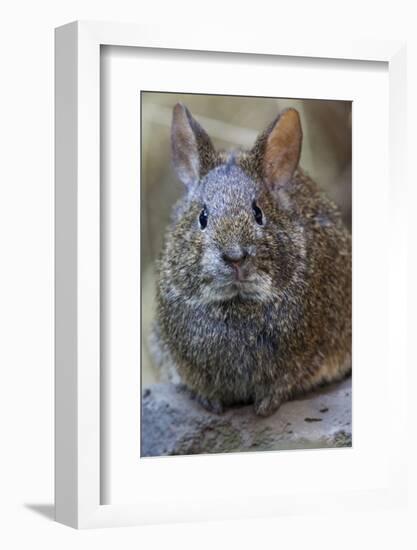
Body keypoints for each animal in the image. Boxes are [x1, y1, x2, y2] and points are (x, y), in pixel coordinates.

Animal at [148, 102, 350, 418]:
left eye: (258, 213)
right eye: (203, 217)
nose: (235, 257)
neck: (238, 302)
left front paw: (266, 406)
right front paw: (211, 403)